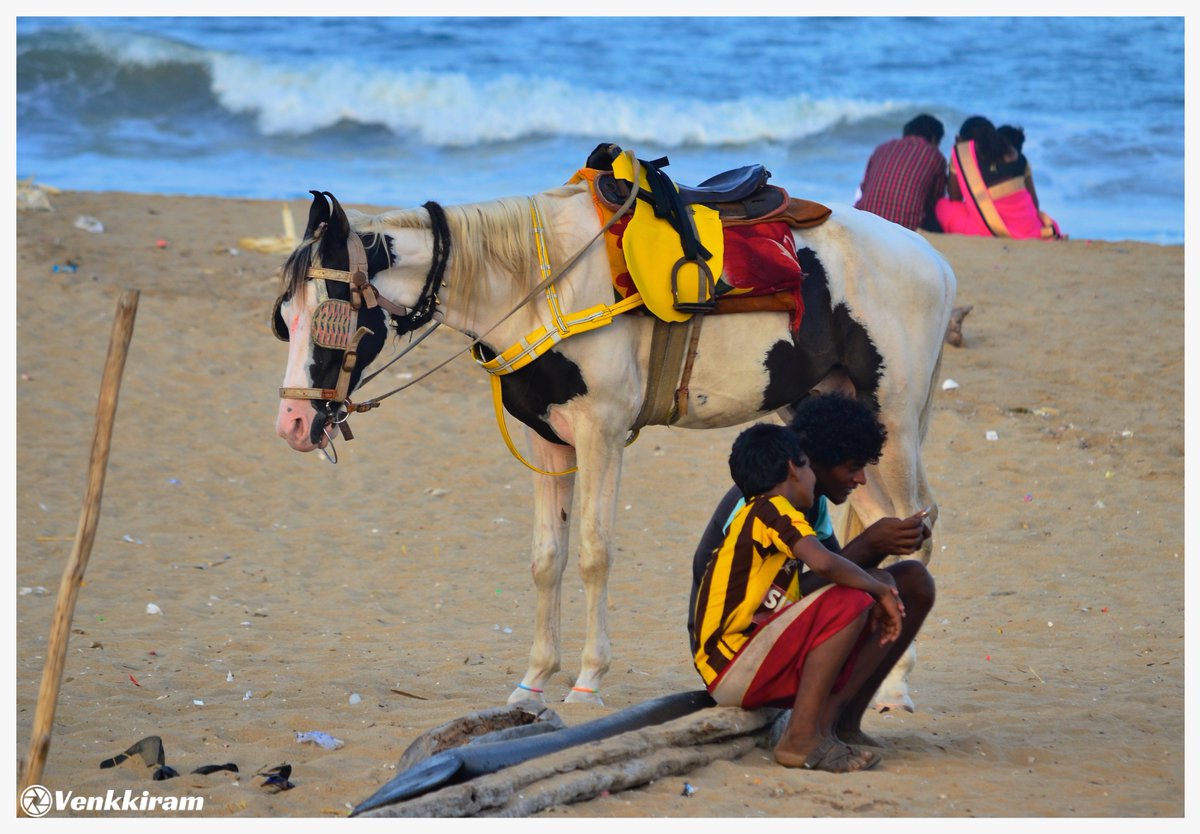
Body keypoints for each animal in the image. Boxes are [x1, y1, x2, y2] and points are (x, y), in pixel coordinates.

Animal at [272, 180, 955, 705]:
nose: (293, 423)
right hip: (838, 417)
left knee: (914, 525)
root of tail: (933, 260)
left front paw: (588, 680)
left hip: (894, 419)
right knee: (881, 520)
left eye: (329, 313)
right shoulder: (547, 443)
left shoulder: (601, 434)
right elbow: (546, 559)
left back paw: (896, 685)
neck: (538, 285)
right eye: (285, 316)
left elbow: (594, 554)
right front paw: (533, 681)